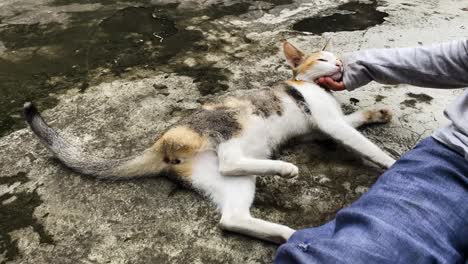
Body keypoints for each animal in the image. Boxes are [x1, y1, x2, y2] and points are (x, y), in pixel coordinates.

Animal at [24, 40, 394, 243]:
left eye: (334, 57)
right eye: (321, 59)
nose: (339, 62)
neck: (312, 88)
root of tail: (162, 140)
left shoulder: (325, 126)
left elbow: (354, 120)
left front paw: (377, 113)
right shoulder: (328, 123)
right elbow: (365, 145)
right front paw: (392, 163)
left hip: (225, 179)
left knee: (231, 217)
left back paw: (286, 235)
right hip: (229, 125)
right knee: (231, 162)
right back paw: (285, 169)